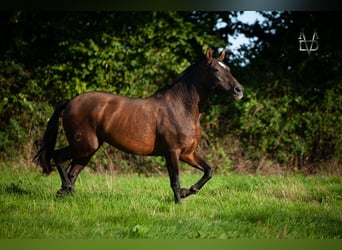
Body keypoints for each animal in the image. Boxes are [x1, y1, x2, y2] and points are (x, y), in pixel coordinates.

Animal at [34, 47, 243, 204]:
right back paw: (66, 189)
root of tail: (70, 102)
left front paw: (186, 192)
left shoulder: (187, 153)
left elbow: (209, 171)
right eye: (216, 70)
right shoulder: (172, 152)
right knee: (57, 156)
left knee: (72, 170)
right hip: (84, 145)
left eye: (228, 68)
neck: (181, 107)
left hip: (87, 149)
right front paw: (179, 202)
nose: (238, 90)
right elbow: (174, 180)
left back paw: (66, 192)